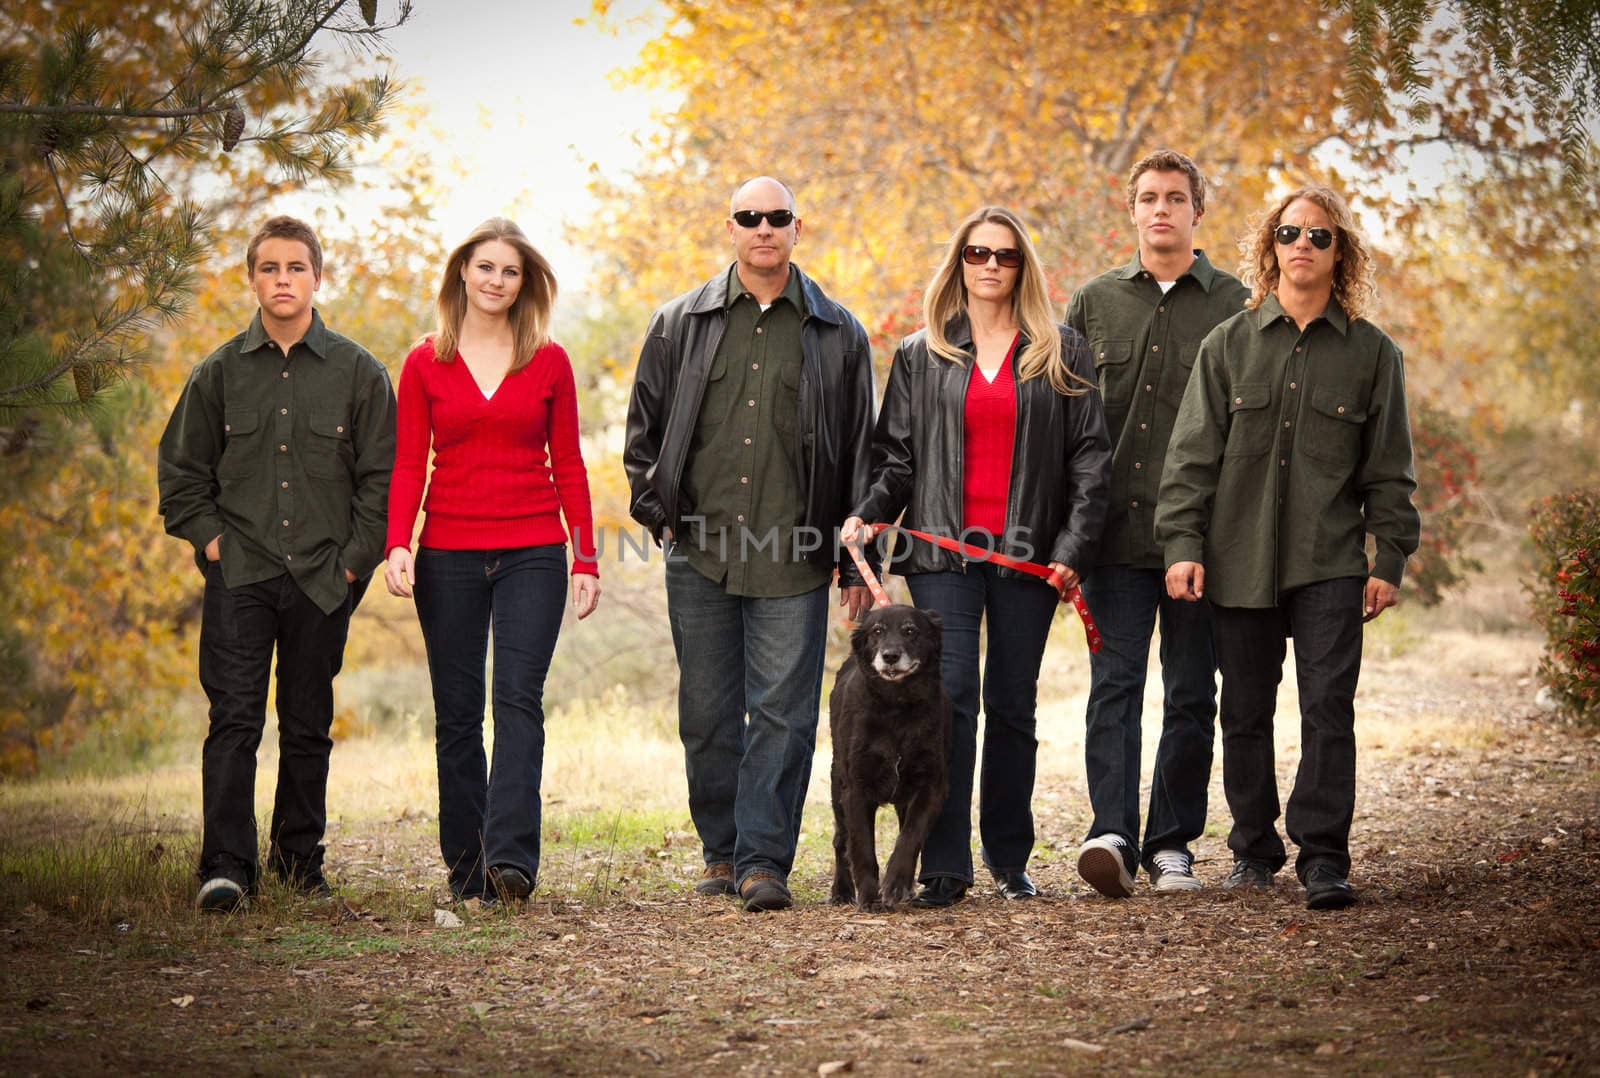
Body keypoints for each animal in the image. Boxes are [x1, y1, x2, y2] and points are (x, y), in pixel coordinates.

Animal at [825, 604, 947, 908]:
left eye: (910, 631)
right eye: (877, 631)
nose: (890, 656)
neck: (896, 707)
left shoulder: (930, 785)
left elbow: (910, 837)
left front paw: (896, 883)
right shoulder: (855, 789)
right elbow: (862, 848)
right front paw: (869, 896)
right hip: (836, 787)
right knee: (840, 841)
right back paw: (841, 890)